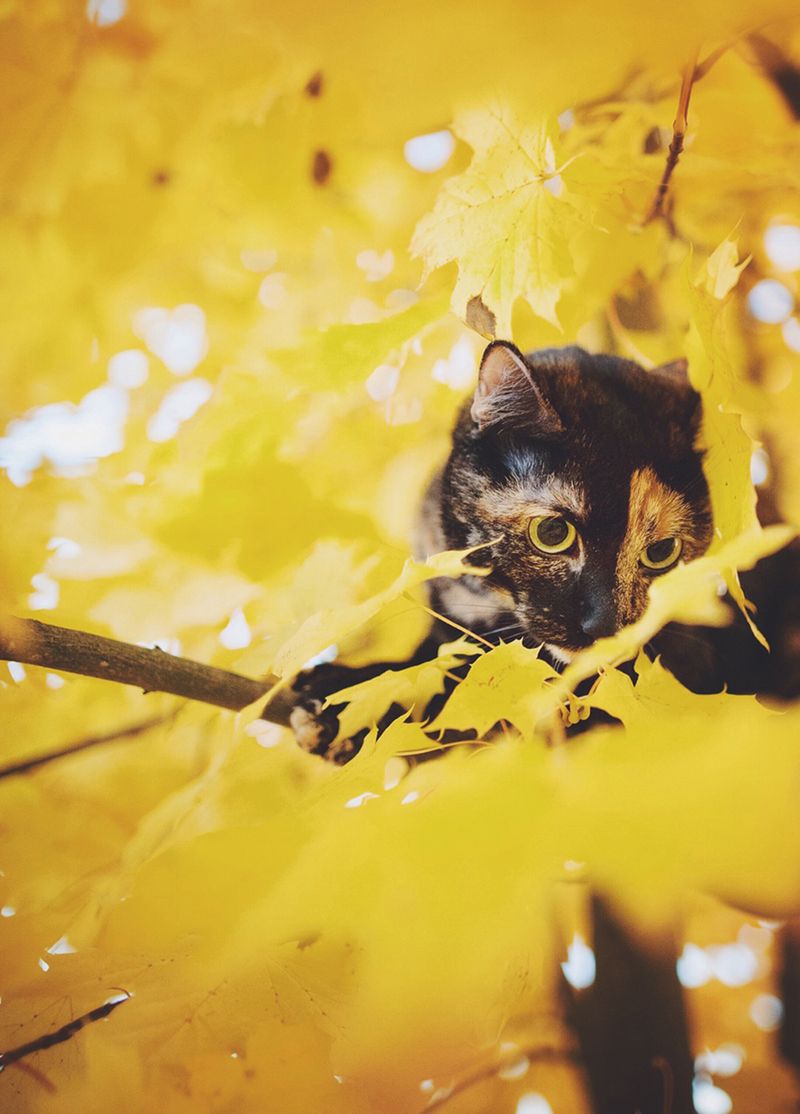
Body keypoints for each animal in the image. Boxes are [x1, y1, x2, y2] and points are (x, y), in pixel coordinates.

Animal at [291, 338, 797, 757]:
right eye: (553, 534)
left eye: (661, 553)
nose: (605, 624)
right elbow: (429, 662)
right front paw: (348, 686)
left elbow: (457, 693)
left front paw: (353, 704)